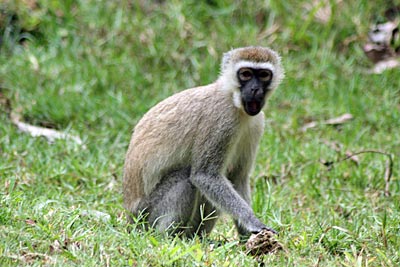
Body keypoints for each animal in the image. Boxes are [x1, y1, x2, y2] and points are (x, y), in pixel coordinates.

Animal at [123, 46, 282, 239]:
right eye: (245, 74)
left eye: (264, 75)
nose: (254, 89)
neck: (233, 101)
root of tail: (130, 220)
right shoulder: (221, 120)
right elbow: (205, 175)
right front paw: (253, 222)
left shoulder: (257, 124)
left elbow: (237, 177)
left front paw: (246, 237)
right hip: (146, 216)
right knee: (186, 179)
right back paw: (168, 238)